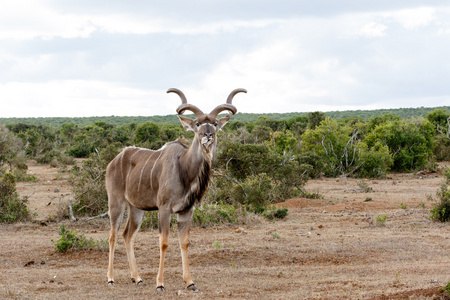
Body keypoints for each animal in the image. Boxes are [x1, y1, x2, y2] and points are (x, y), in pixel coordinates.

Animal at [105, 88, 246, 292]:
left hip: (136, 208)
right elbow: (164, 242)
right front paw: (160, 284)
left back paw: (137, 278)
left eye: (215, 123)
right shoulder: (164, 209)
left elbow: (184, 242)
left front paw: (190, 282)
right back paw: (110, 279)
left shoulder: (186, 211)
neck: (184, 168)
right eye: (197, 123)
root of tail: (114, 161)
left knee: (127, 235)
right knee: (112, 235)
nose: (208, 135)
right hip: (116, 203)